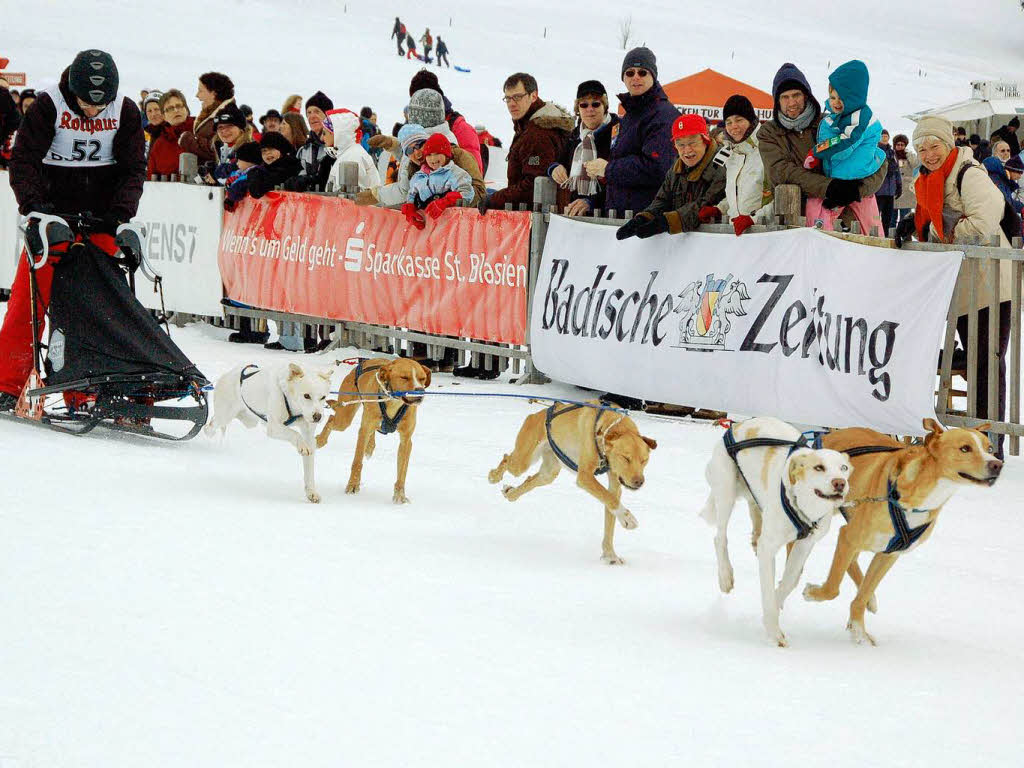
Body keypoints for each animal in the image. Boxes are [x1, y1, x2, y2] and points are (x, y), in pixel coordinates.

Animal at [205, 362, 337, 505]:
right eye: (306, 396)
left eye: (323, 397)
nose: (317, 416)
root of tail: (224, 376)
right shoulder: (273, 427)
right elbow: (295, 434)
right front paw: (301, 445)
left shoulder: (309, 435)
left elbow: (309, 469)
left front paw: (311, 492)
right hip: (224, 416)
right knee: (209, 427)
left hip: (248, 421)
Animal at [319, 356, 432, 501]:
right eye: (404, 377)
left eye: (422, 378)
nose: (419, 391)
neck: (394, 401)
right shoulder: (363, 431)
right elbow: (357, 462)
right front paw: (353, 484)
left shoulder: (406, 440)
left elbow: (402, 470)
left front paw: (400, 495)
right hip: (344, 418)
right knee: (331, 419)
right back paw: (320, 440)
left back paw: (370, 446)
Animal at [487, 403, 655, 565]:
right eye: (626, 458)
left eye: (644, 460)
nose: (639, 482)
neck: (606, 427)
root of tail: (538, 413)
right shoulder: (585, 477)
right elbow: (611, 499)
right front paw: (628, 518)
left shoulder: (615, 485)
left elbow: (611, 509)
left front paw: (610, 555)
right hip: (522, 462)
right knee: (507, 458)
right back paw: (494, 476)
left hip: (548, 474)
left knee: (529, 480)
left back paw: (511, 493)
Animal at [700, 417, 851, 647]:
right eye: (819, 467)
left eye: (843, 468)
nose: (840, 483)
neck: (802, 504)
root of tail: (737, 425)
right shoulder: (769, 547)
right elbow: (769, 592)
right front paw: (773, 631)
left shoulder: (805, 544)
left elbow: (790, 580)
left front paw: (776, 605)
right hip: (726, 492)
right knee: (720, 537)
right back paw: (725, 576)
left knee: (753, 515)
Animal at [802, 417, 1003, 647]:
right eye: (965, 448)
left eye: (989, 448)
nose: (997, 464)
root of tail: (827, 435)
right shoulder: (850, 536)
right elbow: (832, 587)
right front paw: (814, 593)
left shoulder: (889, 553)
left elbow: (862, 595)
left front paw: (860, 631)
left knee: (854, 566)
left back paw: (869, 599)